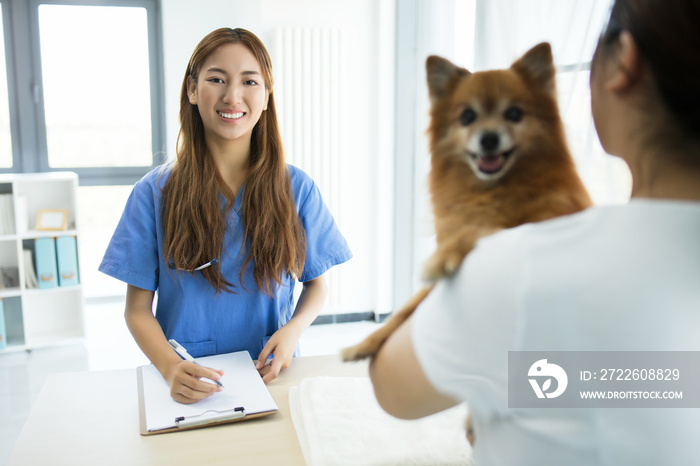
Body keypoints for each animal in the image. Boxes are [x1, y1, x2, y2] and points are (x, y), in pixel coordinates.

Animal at [342, 42, 592, 368]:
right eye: (467, 117)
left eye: (514, 114)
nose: (489, 138)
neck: (491, 191)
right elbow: (404, 311)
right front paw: (363, 344)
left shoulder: (545, 224)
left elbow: (483, 229)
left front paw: (442, 257)